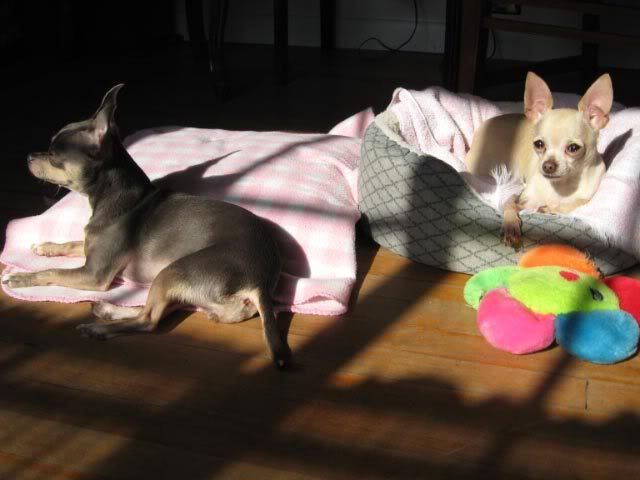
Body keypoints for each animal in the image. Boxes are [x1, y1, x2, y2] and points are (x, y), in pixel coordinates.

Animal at [2, 85, 292, 369]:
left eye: (53, 155)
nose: (28, 155)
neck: (115, 198)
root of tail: (261, 280)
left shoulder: (94, 274)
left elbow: (53, 272)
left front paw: (20, 278)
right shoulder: (90, 250)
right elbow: (74, 242)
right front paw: (45, 247)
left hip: (173, 271)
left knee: (148, 321)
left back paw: (98, 328)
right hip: (181, 289)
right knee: (154, 311)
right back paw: (107, 311)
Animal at [464, 72, 613, 247]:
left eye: (573, 148)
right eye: (539, 144)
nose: (548, 165)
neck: (560, 186)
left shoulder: (586, 198)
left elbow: (572, 205)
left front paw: (550, 208)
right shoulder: (522, 197)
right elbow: (509, 204)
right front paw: (510, 225)